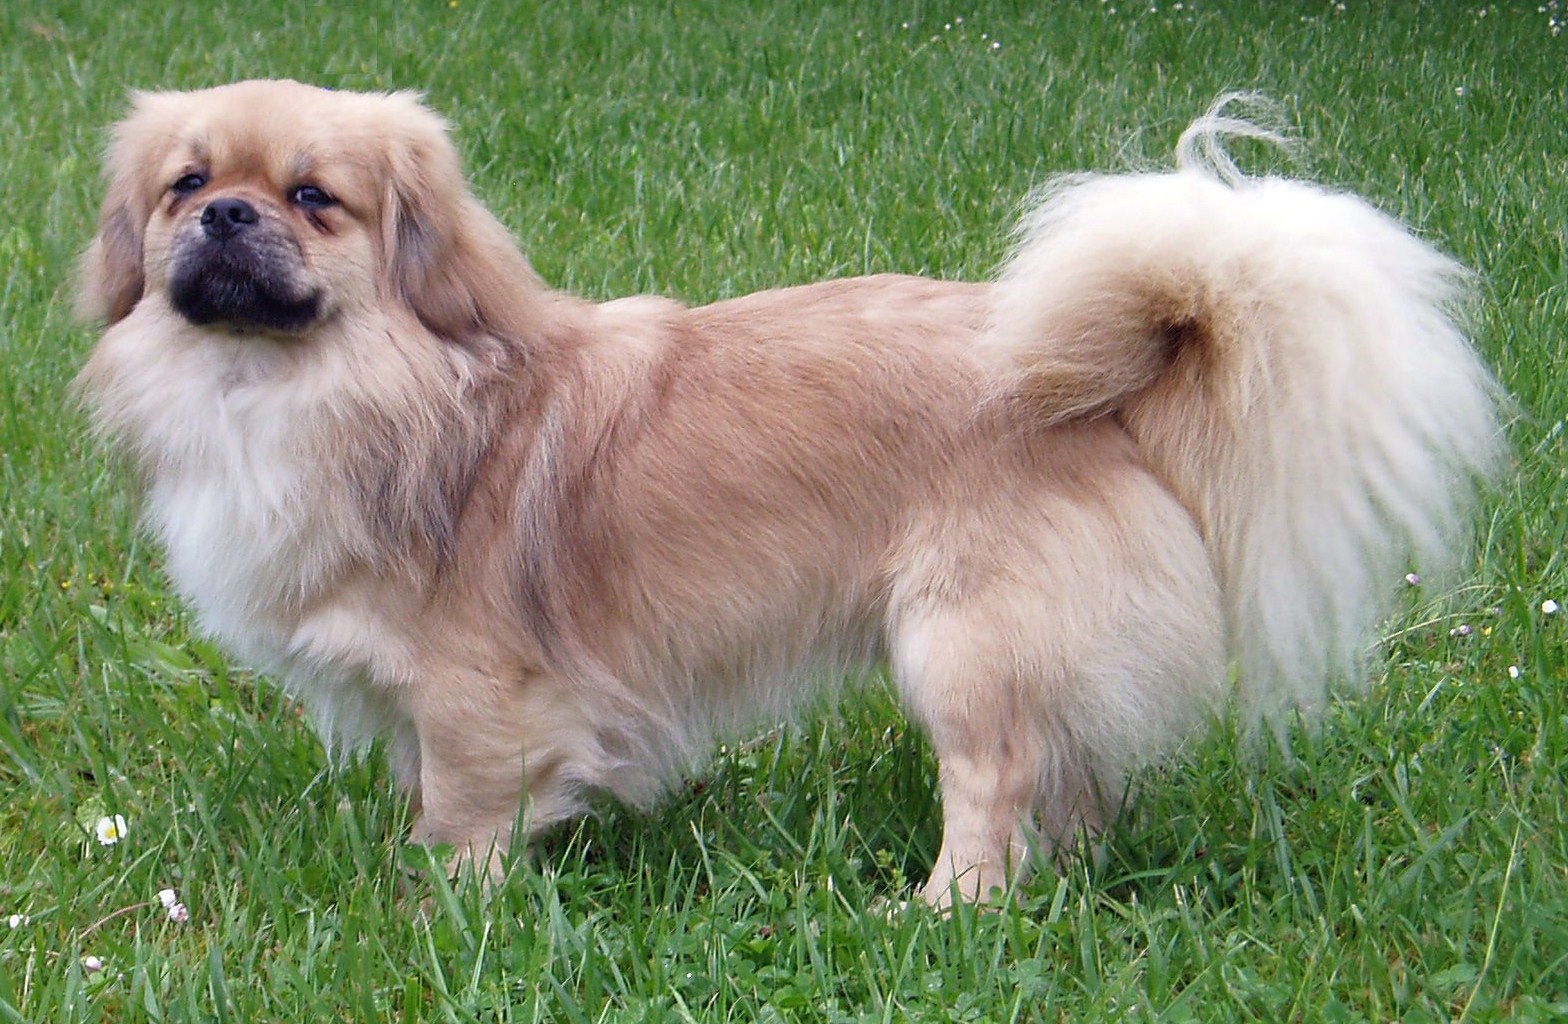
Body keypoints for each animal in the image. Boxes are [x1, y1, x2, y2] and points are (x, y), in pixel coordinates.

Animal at [79, 83, 1499, 909]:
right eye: (185, 186)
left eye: (313, 200)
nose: (227, 218)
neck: (311, 392)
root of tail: (1107, 389)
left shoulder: (480, 694)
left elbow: (466, 806)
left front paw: (439, 909)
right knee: (1072, 787)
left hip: (961, 645)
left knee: (993, 783)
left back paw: (942, 912)